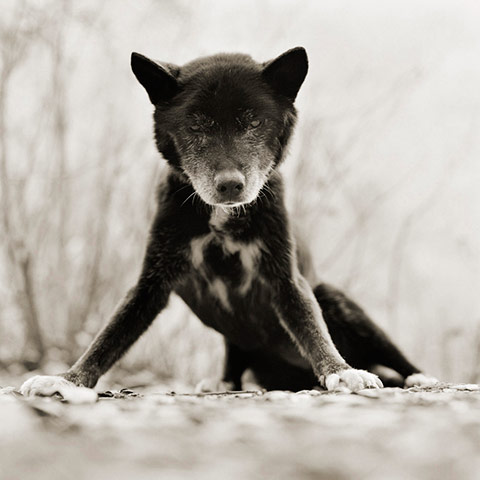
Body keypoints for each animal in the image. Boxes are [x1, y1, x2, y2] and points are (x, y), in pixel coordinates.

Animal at [22, 46, 436, 398]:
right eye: (195, 125)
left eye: (253, 122)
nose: (230, 185)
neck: (221, 219)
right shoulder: (151, 282)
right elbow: (110, 336)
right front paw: (67, 379)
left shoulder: (286, 278)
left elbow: (310, 327)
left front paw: (340, 371)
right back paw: (222, 382)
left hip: (339, 301)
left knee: (395, 359)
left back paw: (417, 377)